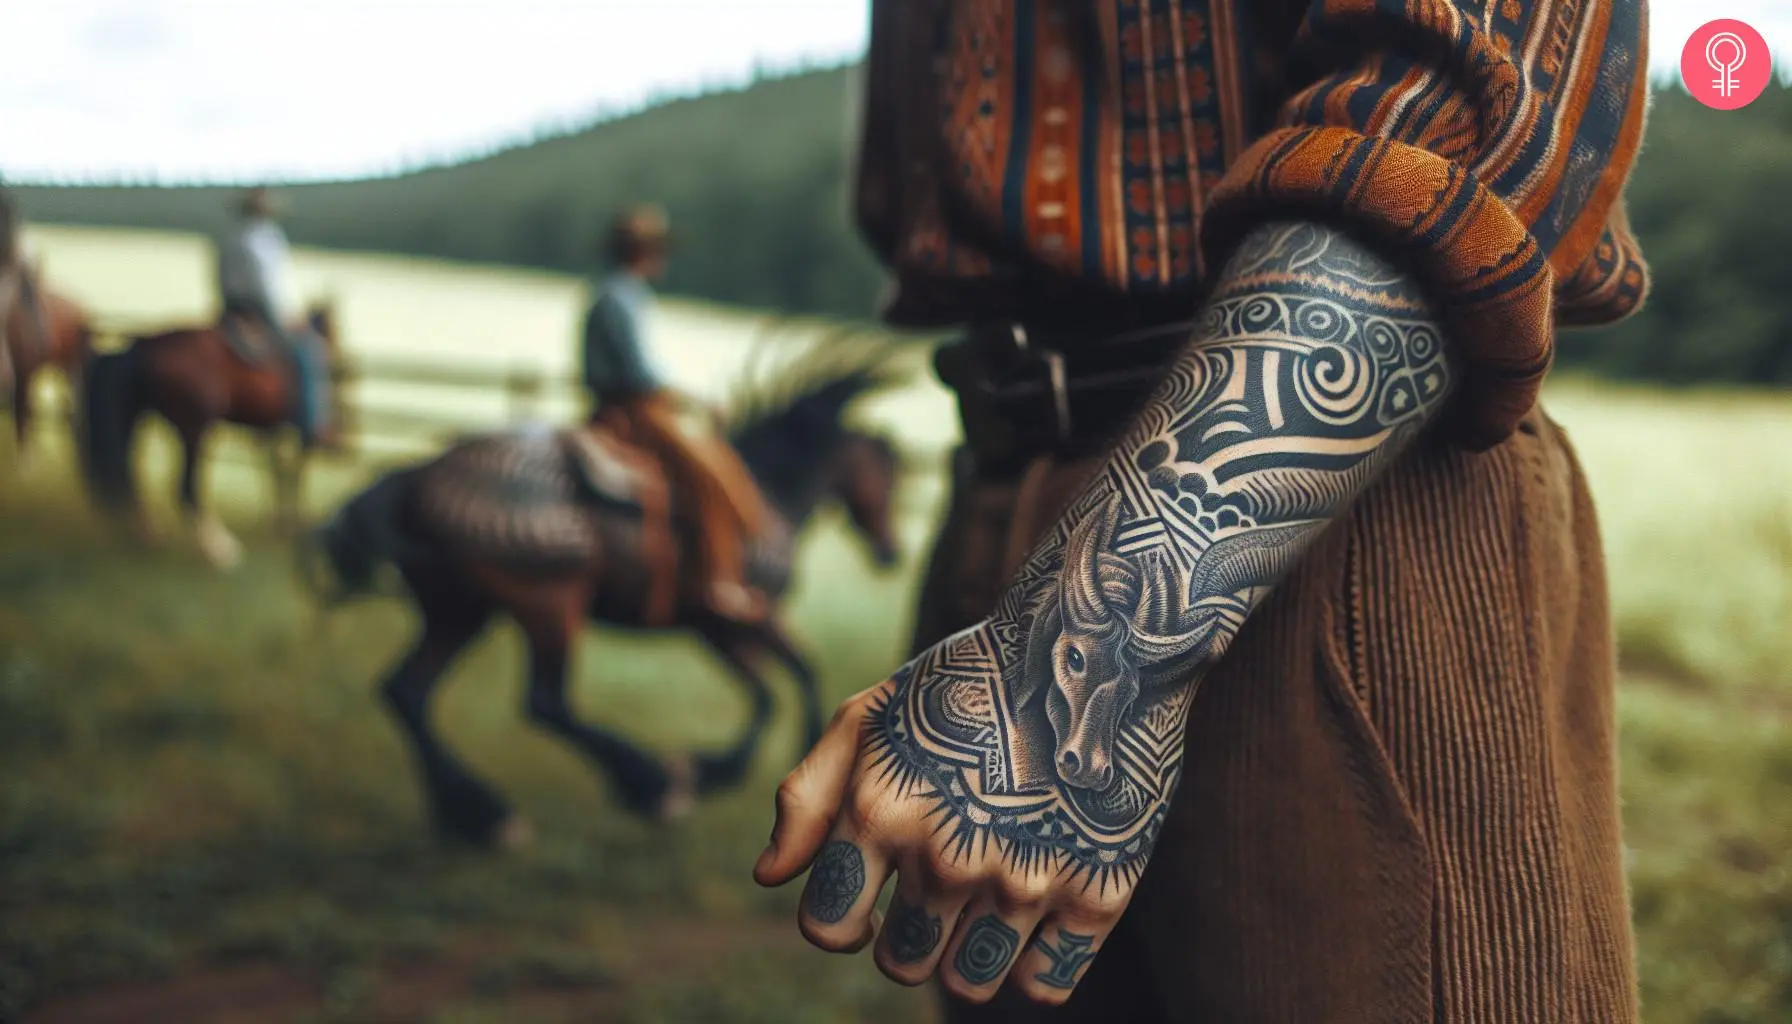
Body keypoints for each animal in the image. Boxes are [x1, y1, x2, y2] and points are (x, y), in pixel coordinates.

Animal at [80, 304, 340, 570]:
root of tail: (142, 346)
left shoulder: (271, 431)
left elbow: (276, 471)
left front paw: (279, 521)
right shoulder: (292, 430)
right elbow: (293, 472)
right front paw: (291, 523)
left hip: (137, 418)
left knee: (129, 470)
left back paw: (148, 532)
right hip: (194, 429)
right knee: (186, 488)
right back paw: (219, 548)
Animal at [306, 344, 910, 850]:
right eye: (891, 474)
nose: (892, 553)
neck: (768, 493)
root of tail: (415, 478)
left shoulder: (731, 627)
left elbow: (785, 684)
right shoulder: (740, 620)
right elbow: (785, 687)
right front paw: (705, 775)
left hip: (458, 611)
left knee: (407, 692)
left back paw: (478, 816)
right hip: (548, 606)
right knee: (545, 703)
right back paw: (646, 788)